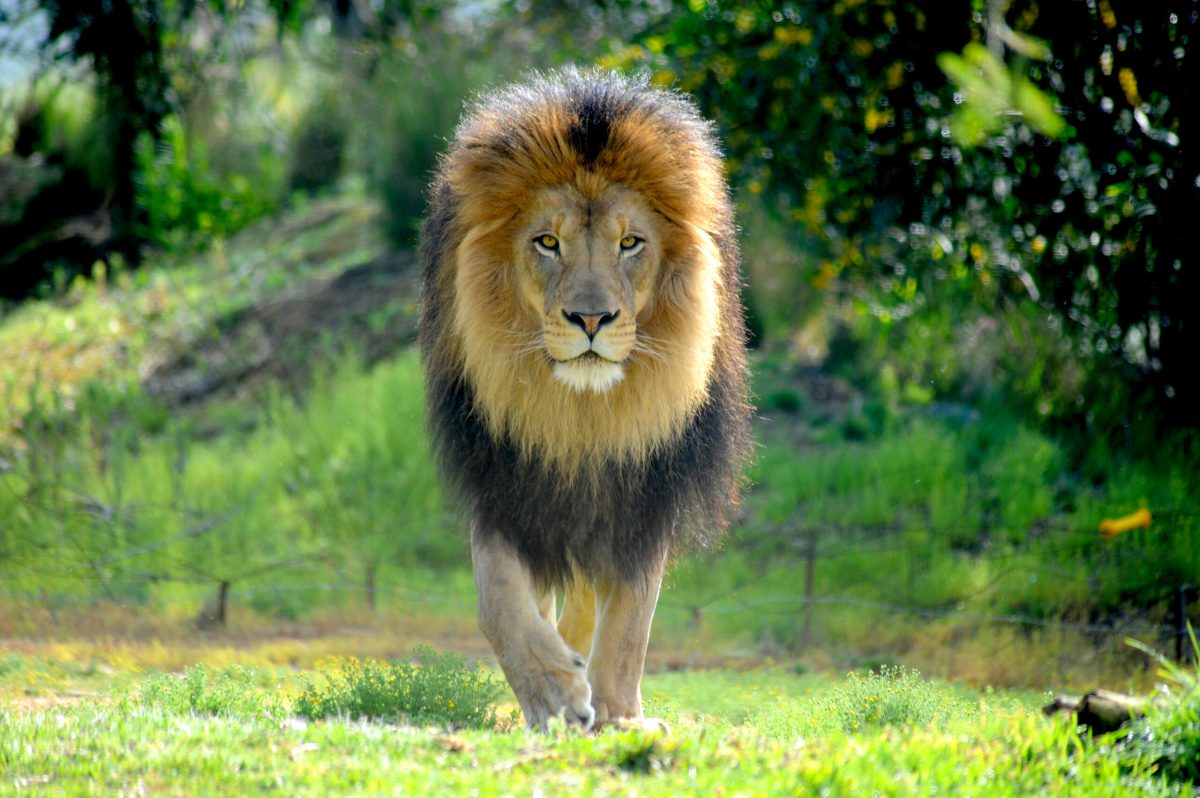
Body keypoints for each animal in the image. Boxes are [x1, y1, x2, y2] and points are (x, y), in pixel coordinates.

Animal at [419, 68, 751, 731]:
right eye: (548, 242)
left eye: (631, 243)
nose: (591, 319)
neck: (582, 417)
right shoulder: (505, 478)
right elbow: (499, 600)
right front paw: (552, 692)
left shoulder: (647, 492)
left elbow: (629, 623)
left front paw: (619, 715)